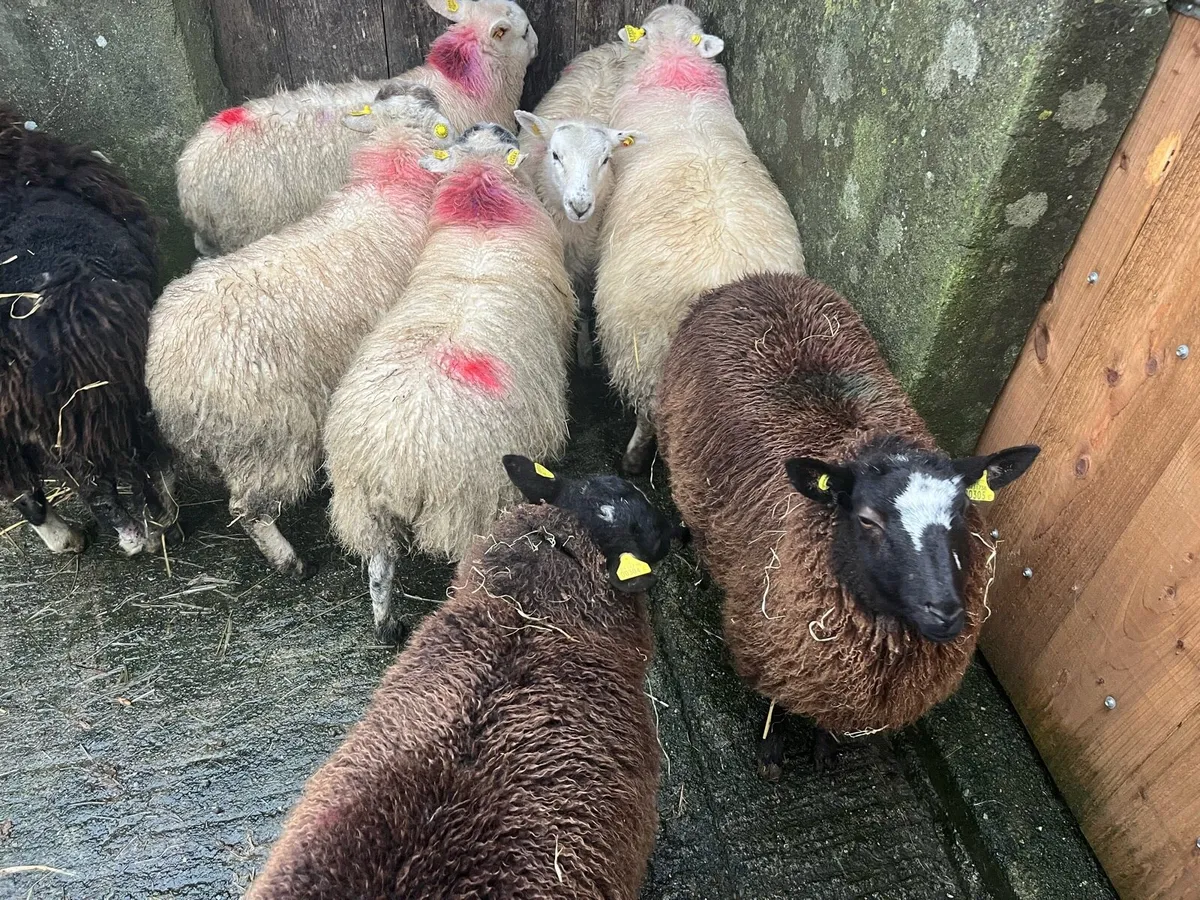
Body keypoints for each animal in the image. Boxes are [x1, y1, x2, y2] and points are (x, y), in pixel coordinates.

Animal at [145, 88, 456, 579]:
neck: (389, 184)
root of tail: (169, 371)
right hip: (269, 438)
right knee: (247, 508)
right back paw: (289, 560)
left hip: (171, 433)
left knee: (159, 474)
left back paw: (168, 529)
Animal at [323, 124, 576, 641]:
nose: (490, 125)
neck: (482, 213)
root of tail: (396, 462)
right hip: (465, 508)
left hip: (364, 506)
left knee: (378, 569)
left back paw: (388, 625)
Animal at [514, 111, 641, 368]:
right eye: (555, 155)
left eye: (605, 160)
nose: (579, 206)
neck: (573, 233)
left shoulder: (587, 270)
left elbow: (582, 307)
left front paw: (584, 352)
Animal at [656, 273, 1040, 776]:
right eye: (866, 520)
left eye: (959, 513)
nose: (945, 613)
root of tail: (758, 278)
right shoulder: (771, 637)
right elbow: (775, 703)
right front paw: (771, 753)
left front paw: (824, 748)